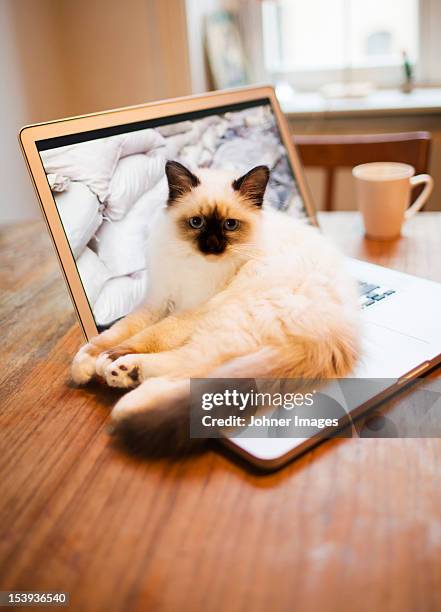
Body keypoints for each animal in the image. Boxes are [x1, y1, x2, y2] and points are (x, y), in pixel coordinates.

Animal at [72, 160, 360, 452]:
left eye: (230, 225)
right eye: (196, 222)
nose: (212, 246)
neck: (193, 264)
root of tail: (338, 336)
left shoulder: (193, 310)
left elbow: (150, 336)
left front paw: (109, 358)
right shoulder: (158, 300)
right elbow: (115, 333)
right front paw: (86, 362)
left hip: (227, 313)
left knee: (197, 365)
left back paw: (126, 390)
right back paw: (127, 380)